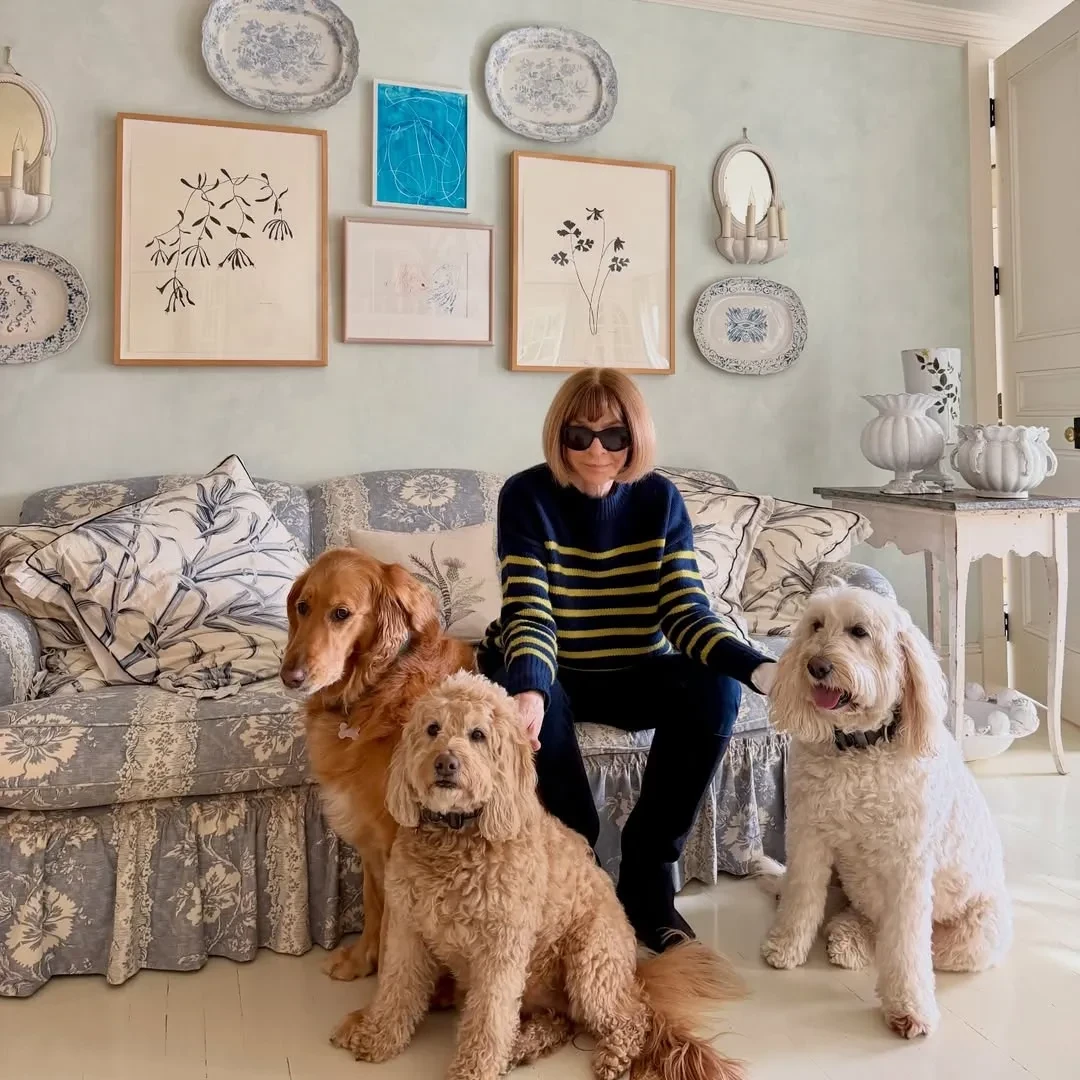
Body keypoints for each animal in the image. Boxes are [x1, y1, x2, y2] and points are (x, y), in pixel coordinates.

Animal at [280, 547, 476, 981]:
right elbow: (373, 905)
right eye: (302, 606)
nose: (290, 677)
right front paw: (360, 960)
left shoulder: (396, 844)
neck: (374, 691)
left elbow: (392, 932)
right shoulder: (370, 839)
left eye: (341, 613)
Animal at [330, 670, 748, 1080]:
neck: (457, 835)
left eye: (477, 735)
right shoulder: (408, 931)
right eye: (433, 729)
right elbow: (397, 989)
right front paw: (377, 1037)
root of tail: (635, 973)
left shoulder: (499, 950)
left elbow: (489, 1017)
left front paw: (474, 1069)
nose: (446, 763)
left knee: (631, 1016)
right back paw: (520, 1046)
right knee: (559, 1022)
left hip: (590, 963)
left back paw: (611, 1055)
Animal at [758, 584, 1011, 1039]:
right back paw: (845, 936)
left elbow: (906, 947)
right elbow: (802, 896)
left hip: (978, 932)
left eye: (859, 631)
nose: (816, 665)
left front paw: (909, 1009)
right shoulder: (807, 837)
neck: (858, 748)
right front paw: (785, 946)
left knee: (909, 943)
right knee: (859, 916)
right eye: (816, 625)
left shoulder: (907, 867)